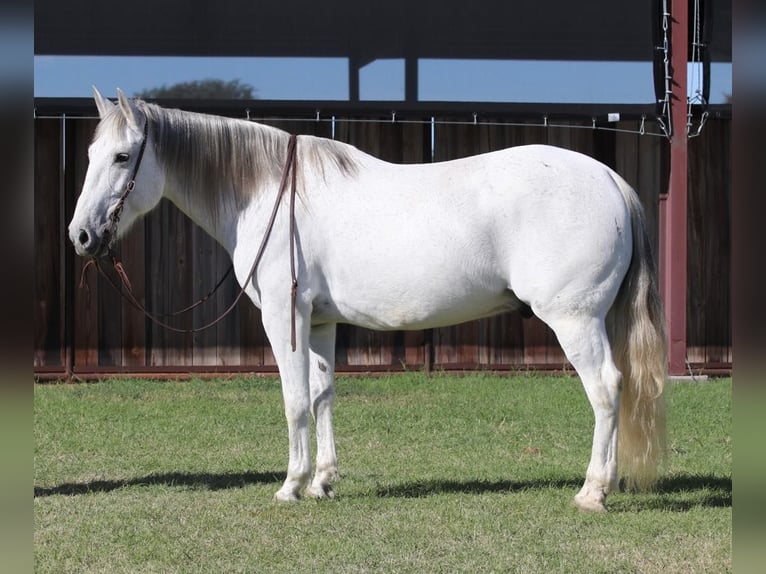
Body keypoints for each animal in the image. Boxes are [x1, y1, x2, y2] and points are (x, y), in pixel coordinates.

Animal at [69, 87, 667, 512]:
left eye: (122, 156)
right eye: (91, 153)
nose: (81, 236)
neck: (266, 192)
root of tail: (609, 177)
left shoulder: (284, 317)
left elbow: (294, 400)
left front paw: (290, 485)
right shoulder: (319, 323)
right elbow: (322, 395)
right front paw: (322, 482)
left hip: (575, 320)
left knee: (606, 389)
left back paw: (593, 492)